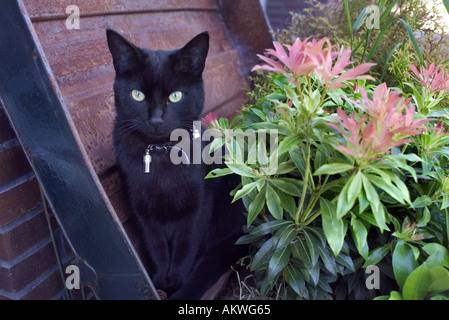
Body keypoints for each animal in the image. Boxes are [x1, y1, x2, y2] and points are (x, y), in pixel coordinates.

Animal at [106, 28, 245, 298]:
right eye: (137, 95)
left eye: (176, 96)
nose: (156, 120)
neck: (162, 152)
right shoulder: (140, 209)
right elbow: (156, 245)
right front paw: (161, 280)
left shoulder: (199, 205)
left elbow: (186, 245)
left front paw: (178, 282)